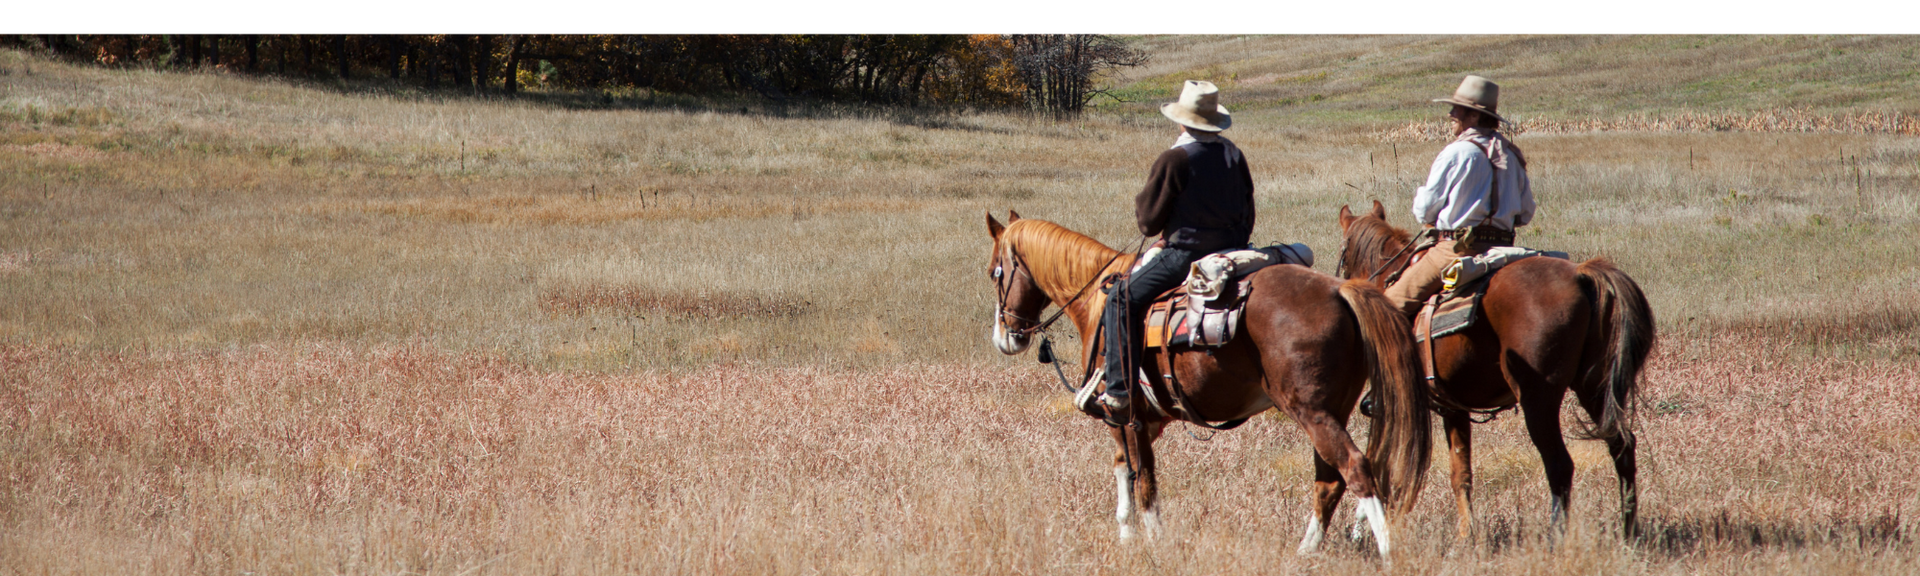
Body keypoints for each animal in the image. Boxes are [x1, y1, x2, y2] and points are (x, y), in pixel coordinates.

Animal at [985, 211, 1431, 558]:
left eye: (995, 272)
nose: (1006, 337)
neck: (1097, 301)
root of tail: (1340, 290)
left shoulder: (1124, 415)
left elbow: (1143, 480)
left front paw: (1152, 540)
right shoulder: (1143, 420)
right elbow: (1125, 469)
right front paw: (1127, 535)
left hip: (1312, 411)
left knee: (1354, 468)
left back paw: (1386, 551)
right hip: (1332, 409)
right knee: (1329, 478)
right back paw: (1307, 550)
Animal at [1335, 200, 1656, 544]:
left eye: (1344, 252)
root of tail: (1580, 275)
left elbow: (1377, 458)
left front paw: (1360, 529)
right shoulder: (1453, 408)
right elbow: (1460, 472)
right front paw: (1466, 534)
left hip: (1538, 400)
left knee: (1559, 465)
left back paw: (1555, 537)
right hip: (1594, 388)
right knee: (1622, 446)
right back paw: (1629, 531)